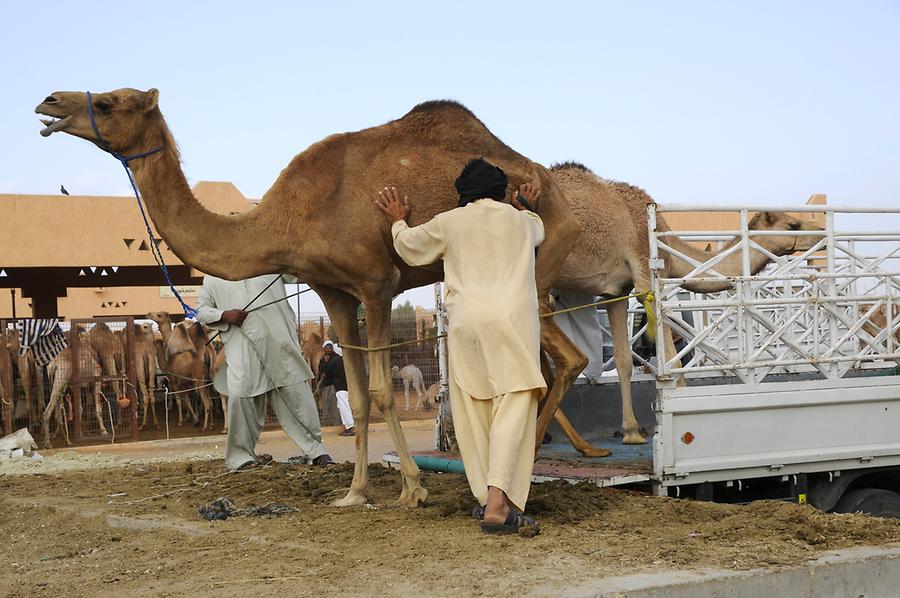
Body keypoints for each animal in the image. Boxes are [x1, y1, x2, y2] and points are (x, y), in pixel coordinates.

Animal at [35, 90, 592, 510]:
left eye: (108, 103)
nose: (50, 102)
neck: (287, 217)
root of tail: (552, 188)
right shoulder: (334, 291)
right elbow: (360, 397)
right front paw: (354, 493)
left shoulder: (376, 283)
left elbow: (383, 392)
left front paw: (413, 489)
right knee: (558, 363)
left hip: (537, 265)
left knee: (546, 366)